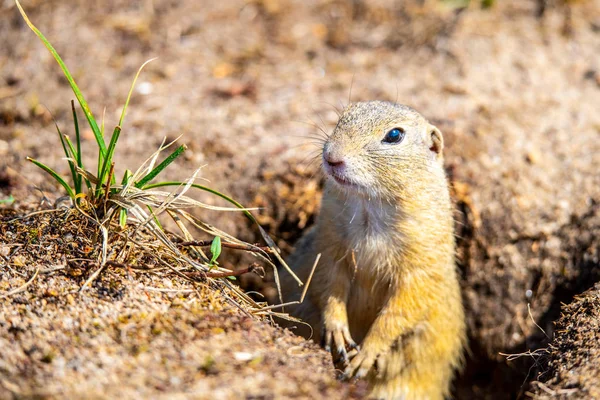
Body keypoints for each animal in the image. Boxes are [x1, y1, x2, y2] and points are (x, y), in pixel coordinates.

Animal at [278, 101, 466, 400]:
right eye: (344, 115)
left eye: (394, 135)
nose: (332, 157)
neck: (370, 206)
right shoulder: (328, 246)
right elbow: (329, 285)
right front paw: (337, 332)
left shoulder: (420, 266)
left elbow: (399, 311)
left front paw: (366, 354)